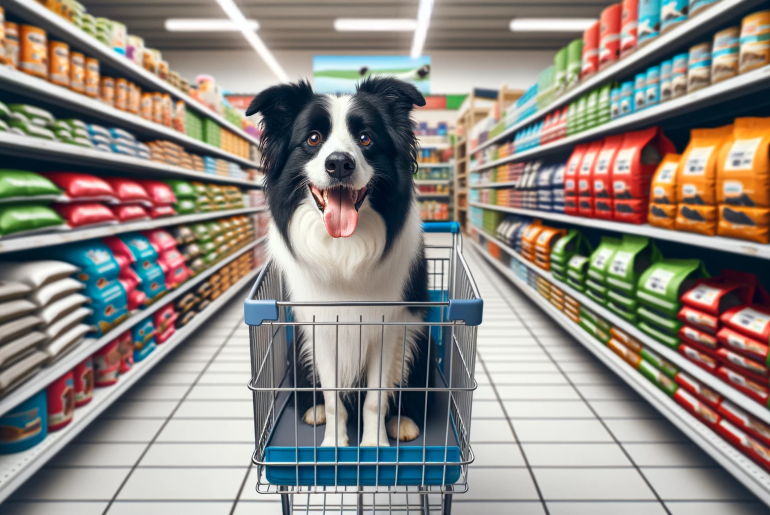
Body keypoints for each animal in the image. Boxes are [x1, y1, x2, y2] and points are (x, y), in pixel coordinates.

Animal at [249, 75, 436, 448]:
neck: (344, 251)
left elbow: (376, 398)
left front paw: (375, 446)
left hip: (424, 339)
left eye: (366, 138)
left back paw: (403, 421)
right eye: (313, 138)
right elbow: (334, 396)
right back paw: (315, 410)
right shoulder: (320, 328)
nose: (339, 163)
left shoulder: (388, 327)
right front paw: (335, 445)